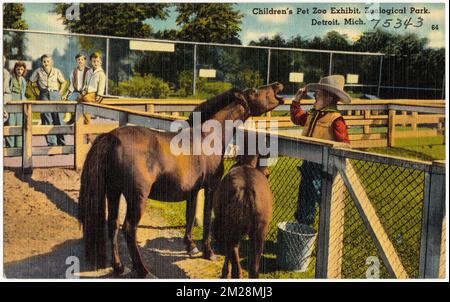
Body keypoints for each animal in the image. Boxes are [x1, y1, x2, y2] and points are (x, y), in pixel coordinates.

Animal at [77, 82, 282, 276]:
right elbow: (206, 219)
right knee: (129, 228)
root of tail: (111, 137)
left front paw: (190, 246)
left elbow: (190, 217)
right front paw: (208, 252)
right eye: (255, 91)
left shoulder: (192, 192)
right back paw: (142, 270)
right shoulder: (210, 188)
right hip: (136, 197)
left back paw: (119, 267)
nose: (278, 86)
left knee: (113, 224)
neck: (208, 137)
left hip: (113, 192)